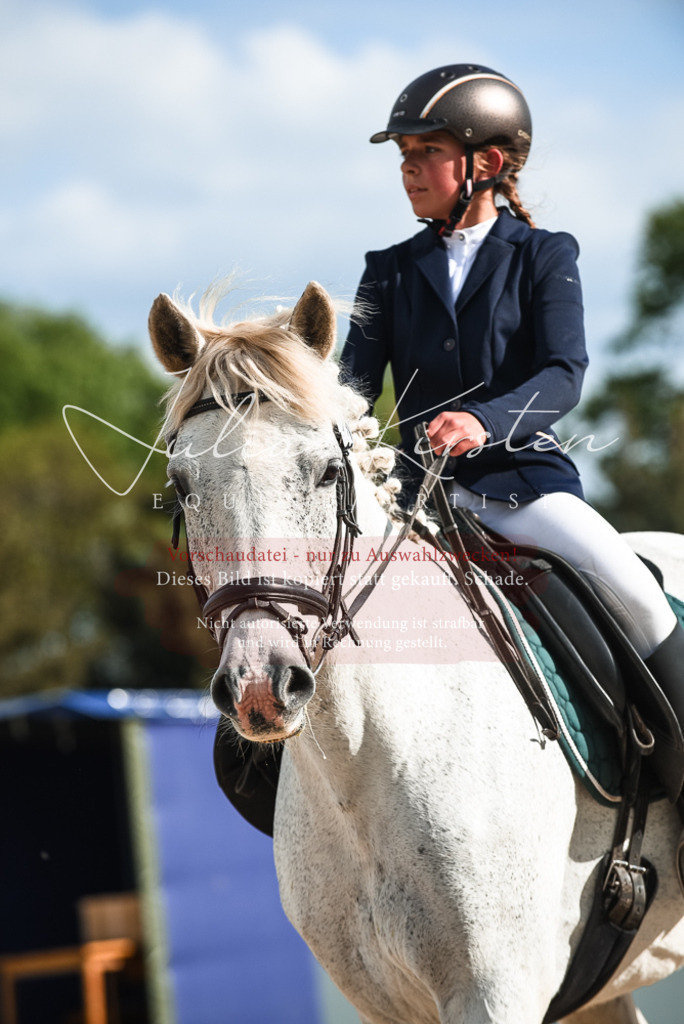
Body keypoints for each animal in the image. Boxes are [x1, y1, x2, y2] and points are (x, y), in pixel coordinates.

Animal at [148, 280, 684, 1024]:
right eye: (182, 485)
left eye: (326, 473)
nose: (261, 684)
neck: (363, 768)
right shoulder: (384, 1005)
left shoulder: (496, 994)